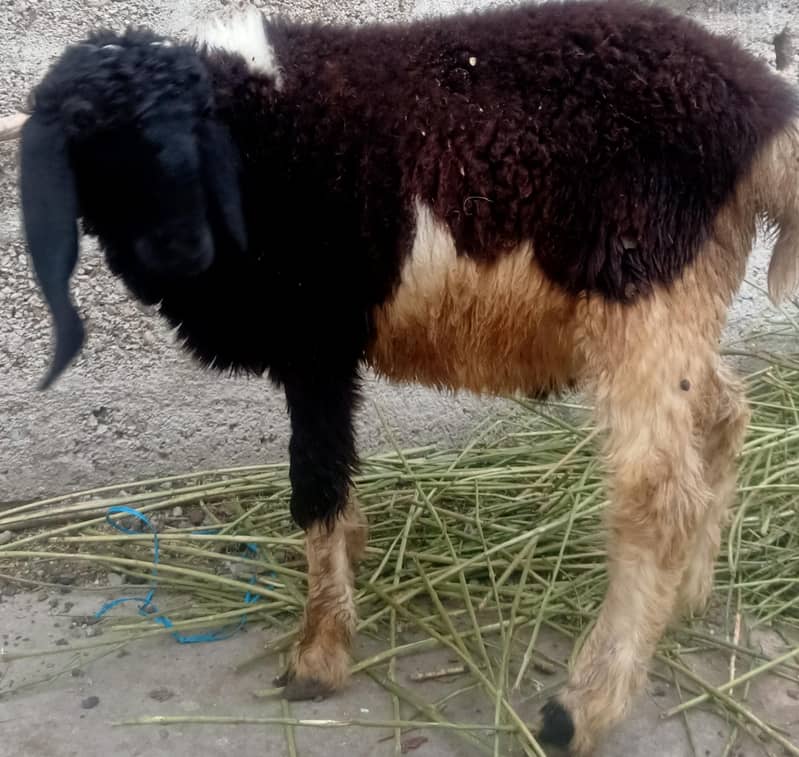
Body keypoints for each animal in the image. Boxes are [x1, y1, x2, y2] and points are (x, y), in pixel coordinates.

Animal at [13, 1, 799, 753]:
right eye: (89, 152)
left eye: (194, 141)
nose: (182, 247)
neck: (261, 138)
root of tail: (760, 106)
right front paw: (348, 566)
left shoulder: (316, 339)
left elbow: (315, 482)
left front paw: (319, 651)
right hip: (683, 299)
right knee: (723, 414)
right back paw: (690, 593)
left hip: (642, 287)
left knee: (656, 494)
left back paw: (580, 709)